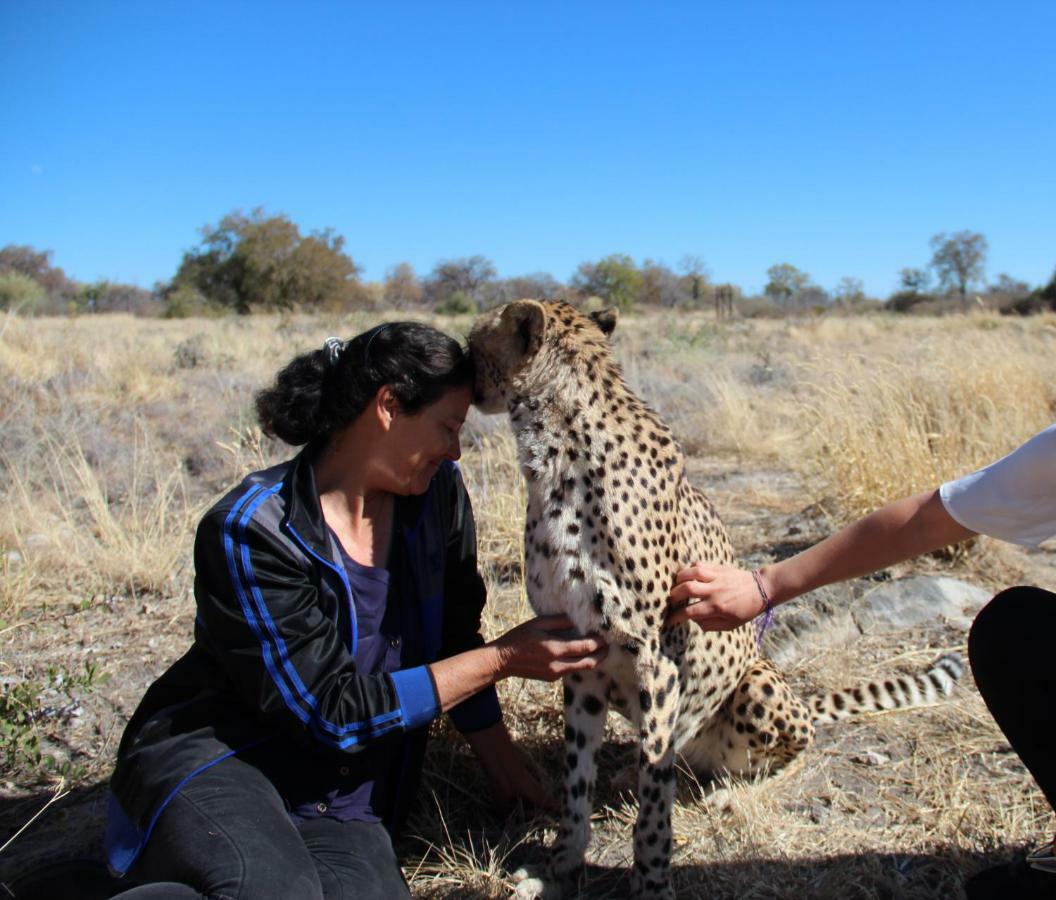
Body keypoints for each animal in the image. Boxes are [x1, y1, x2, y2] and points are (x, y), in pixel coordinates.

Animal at [470, 302, 967, 900]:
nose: (460, 367)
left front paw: (651, 880)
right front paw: (562, 865)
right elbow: (576, 781)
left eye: (474, 341)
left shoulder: (657, 659)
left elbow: (653, 808)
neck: (555, 451)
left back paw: (737, 792)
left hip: (755, 684)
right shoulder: (581, 656)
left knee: (786, 752)